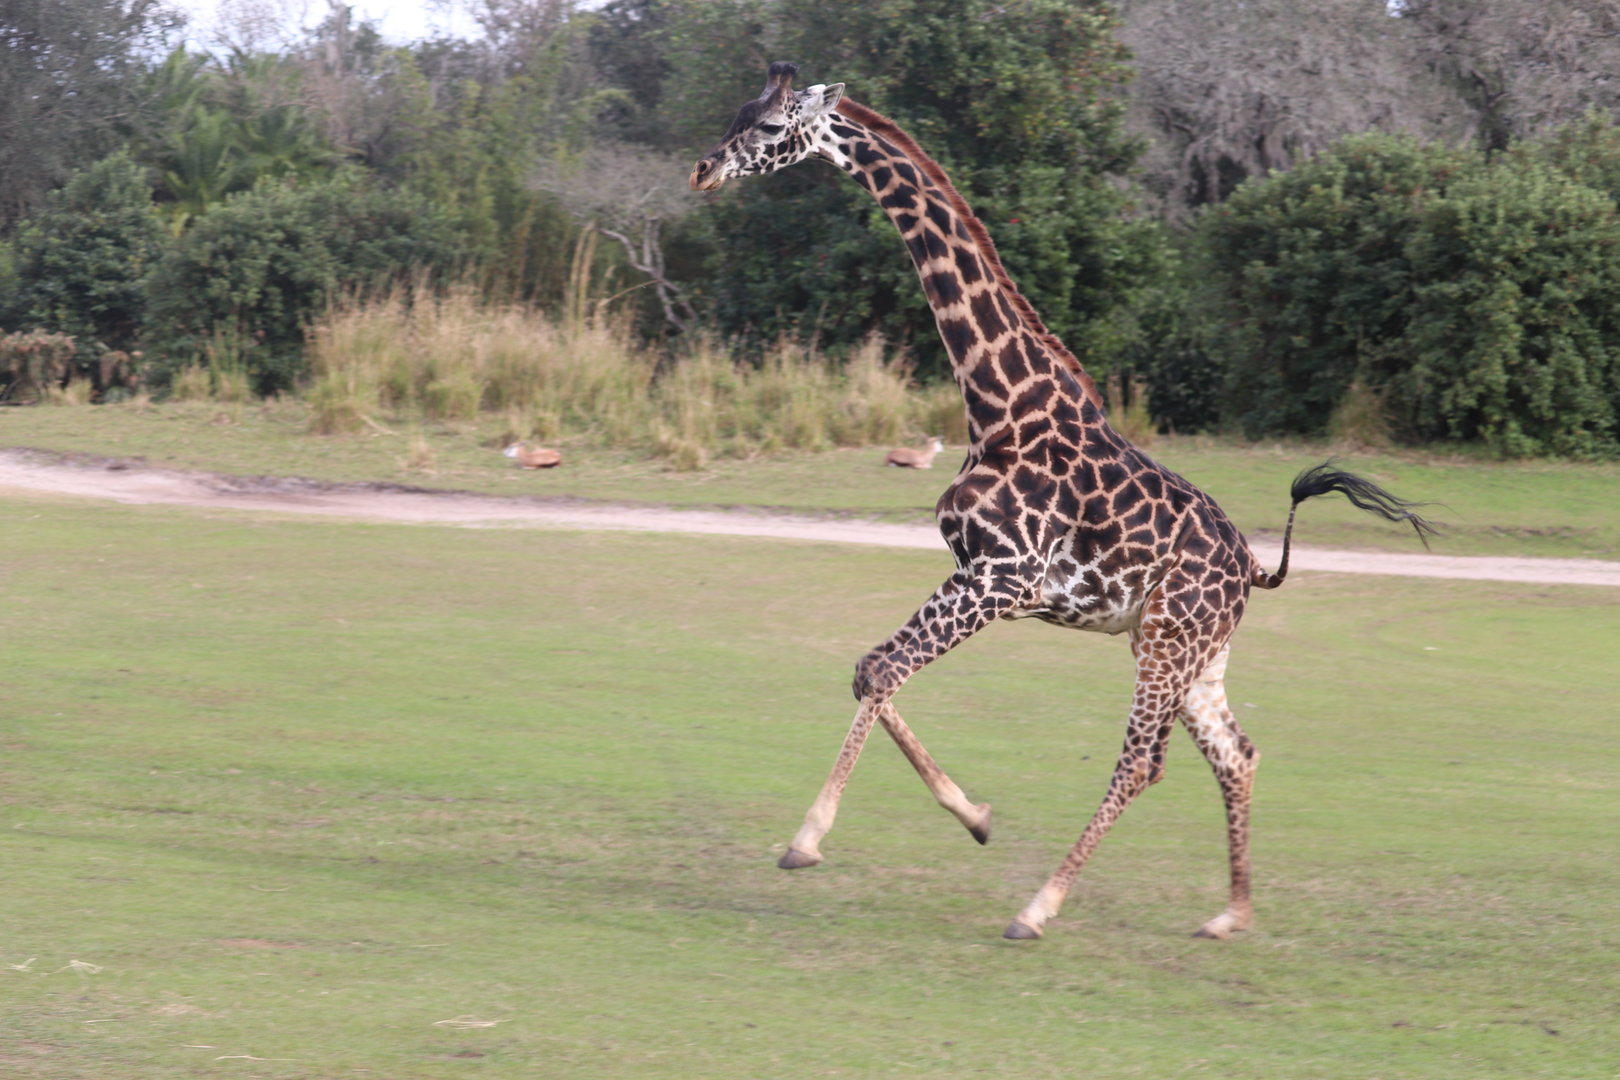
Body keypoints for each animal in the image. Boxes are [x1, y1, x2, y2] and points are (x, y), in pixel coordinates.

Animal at [691, 62, 1437, 940]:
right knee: (1237, 753)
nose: (703, 170)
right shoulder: (980, 578)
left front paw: (808, 840)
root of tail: (1254, 567)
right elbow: (871, 668)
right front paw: (976, 815)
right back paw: (1231, 914)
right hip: (1194, 652)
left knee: (1143, 761)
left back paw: (1038, 908)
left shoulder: (999, 577)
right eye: (738, 110)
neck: (997, 402)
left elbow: (881, 671)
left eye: (774, 128)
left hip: (1166, 646)